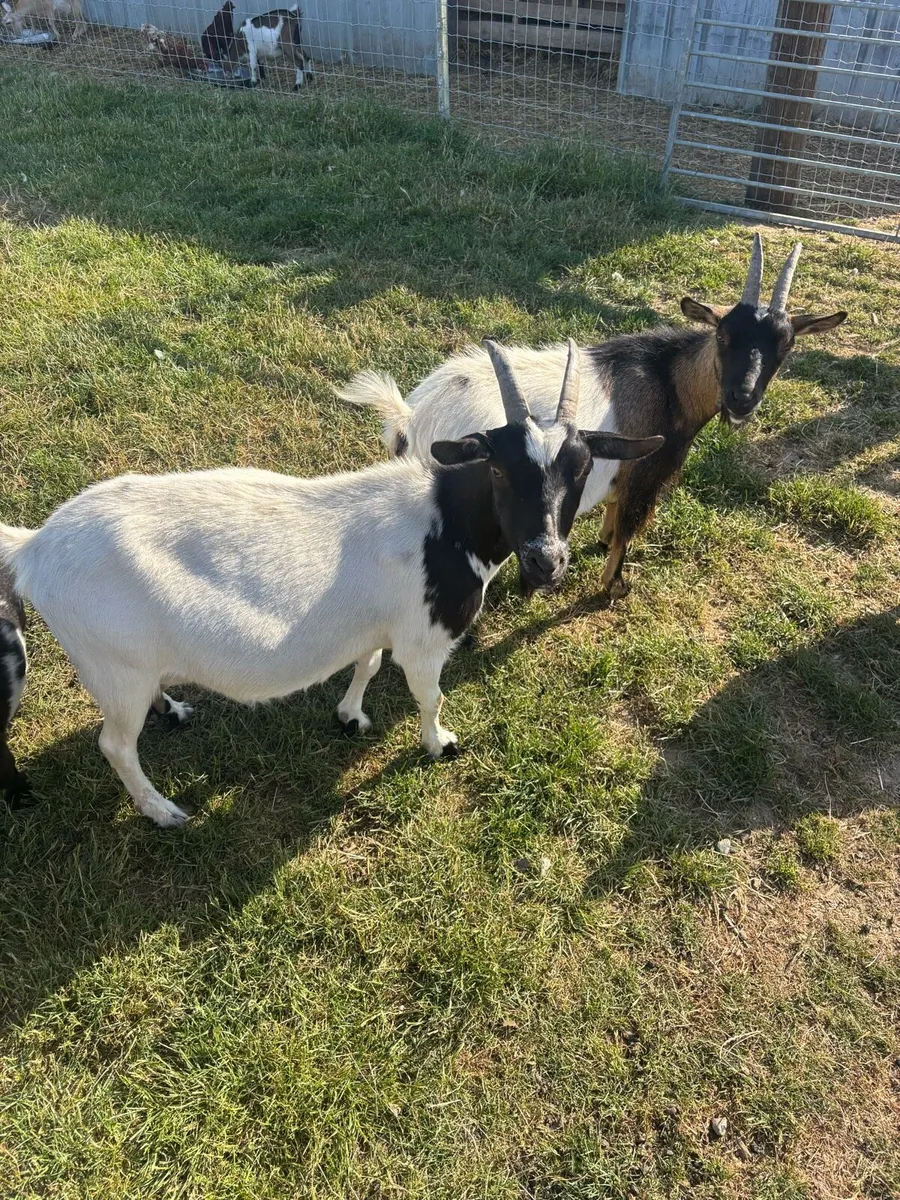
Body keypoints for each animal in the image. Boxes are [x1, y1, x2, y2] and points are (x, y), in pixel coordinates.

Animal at [0, 342, 662, 828]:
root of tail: (36, 547)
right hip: (115, 663)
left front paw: (350, 715)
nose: (547, 560)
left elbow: (366, 663)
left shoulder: (378, 623)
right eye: (498, 468)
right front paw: (439, 743)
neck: (444, 522)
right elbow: (429, 696)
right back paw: (162, 811)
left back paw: (175, 708)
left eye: (581, 468)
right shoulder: (423, 640)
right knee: (115, 745)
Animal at [340, 236, 847, 601]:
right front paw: (614, 586)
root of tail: (411, 419)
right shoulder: (647, 475)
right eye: (723, 336)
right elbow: (629, 530)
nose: (742, 399)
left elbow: (613, 513)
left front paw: (600, 541)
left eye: (786, 345)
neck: (669, 381)